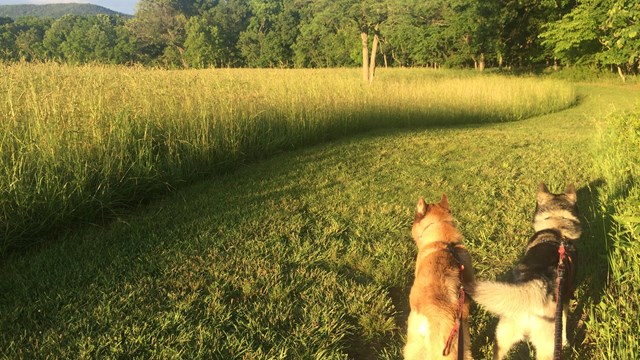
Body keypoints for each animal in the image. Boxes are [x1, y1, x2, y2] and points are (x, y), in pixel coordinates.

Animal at [470, 184, 580, 358]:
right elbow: (564, 323)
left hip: (502, 337)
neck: (555, 228)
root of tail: (535, 285)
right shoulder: (565, 300)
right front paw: (566, 342)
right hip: (546, 347)